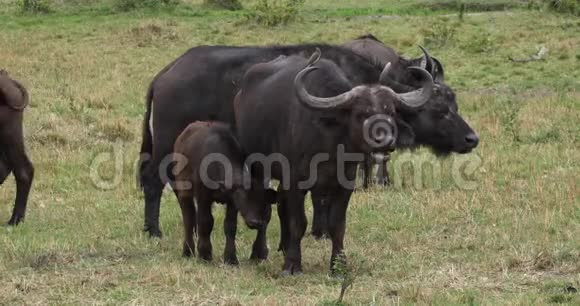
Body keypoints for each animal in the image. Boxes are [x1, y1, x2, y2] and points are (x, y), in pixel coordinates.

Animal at [172, 120, 276, 264]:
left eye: (263, 200)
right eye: (244, 196)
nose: (255, 222)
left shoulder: (232, 202)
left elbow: (230, 226)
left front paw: (231, 258)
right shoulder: (203, 196)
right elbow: (205, 221)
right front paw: (204, 254)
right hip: (184, 191)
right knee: (189, 218)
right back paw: (187, 251)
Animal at [237, 50, 436, 274]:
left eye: (391, 112)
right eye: (361, 114)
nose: (385, 140)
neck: (330, 145)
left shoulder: (345, 185)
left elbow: (337, 224)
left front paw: (338, 265)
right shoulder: (296, 182)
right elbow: (298, 222)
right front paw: (292, 264)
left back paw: (284, 245)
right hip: (258, 166)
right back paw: (259, 252)